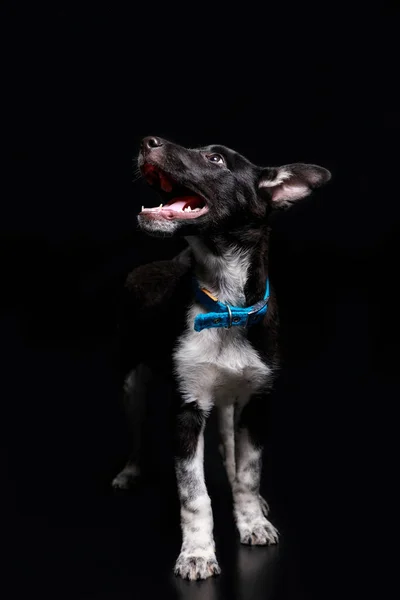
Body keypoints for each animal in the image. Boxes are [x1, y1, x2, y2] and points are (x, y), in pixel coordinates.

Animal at [112, 134, 332, 580]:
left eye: (215, 158)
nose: (148, 141)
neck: (225, 302)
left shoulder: (258, 401)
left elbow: (248, 472)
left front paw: (253, 521)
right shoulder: (186, 409)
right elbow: (193, 493)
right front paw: (197, 553)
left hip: (233, 400)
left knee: (229, 444)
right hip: (131, 382)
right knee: (138, 435)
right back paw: (130, 470)